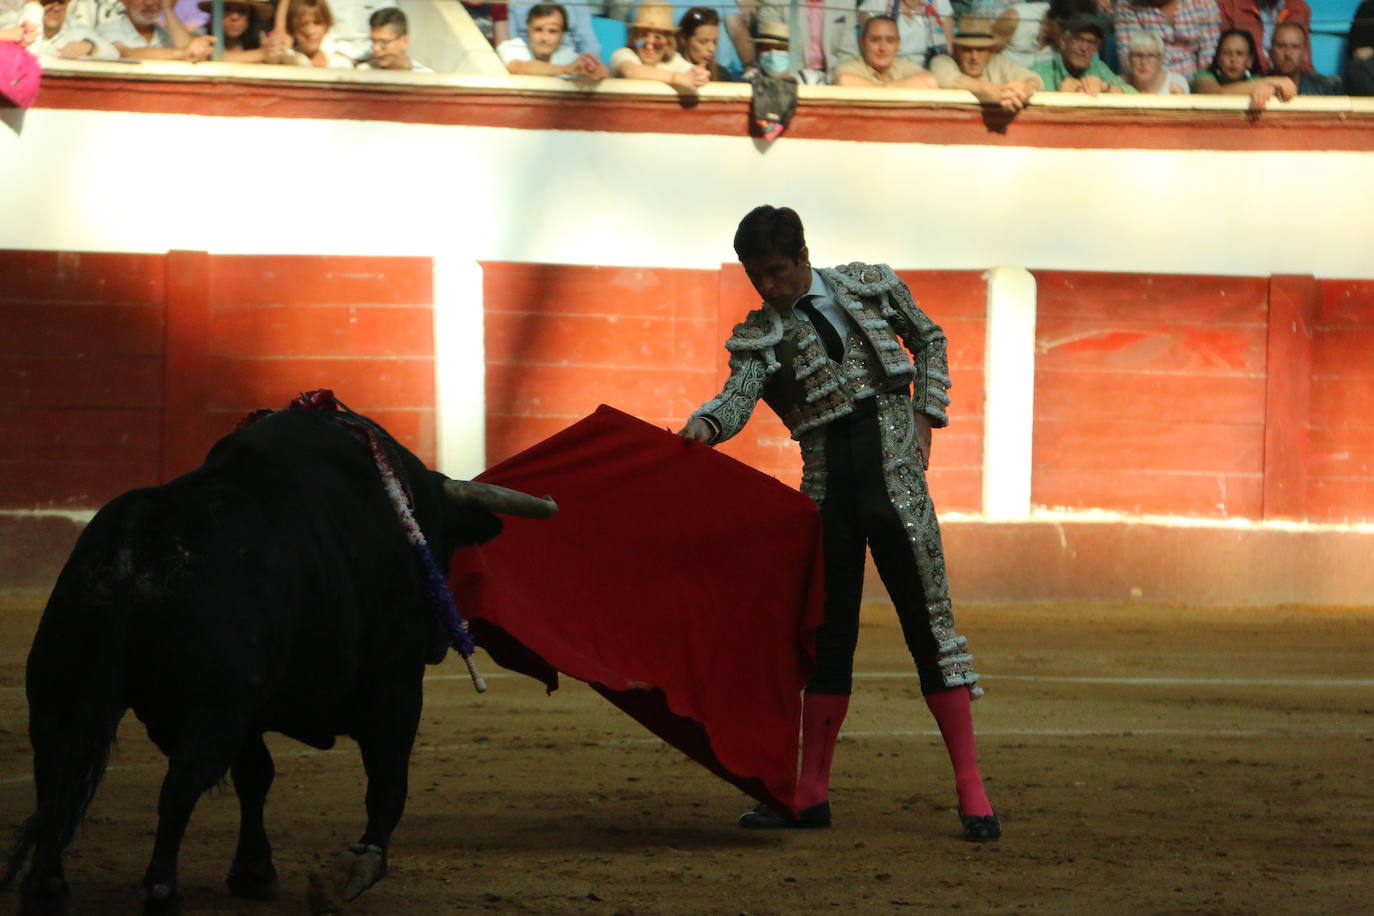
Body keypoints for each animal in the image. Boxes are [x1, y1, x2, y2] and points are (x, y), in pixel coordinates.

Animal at [2, 409, 557, 916]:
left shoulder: (250, 708)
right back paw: (160, 890)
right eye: (442, 542)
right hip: (213, 706)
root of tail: (138, 540)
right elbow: (387, 776)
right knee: (179, 783)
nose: (440, 641)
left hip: (59, 687)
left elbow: (256, 776)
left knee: (55, 770)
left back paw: (47, 885)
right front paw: (361, 862)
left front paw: (253, 871)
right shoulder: (394, 683)